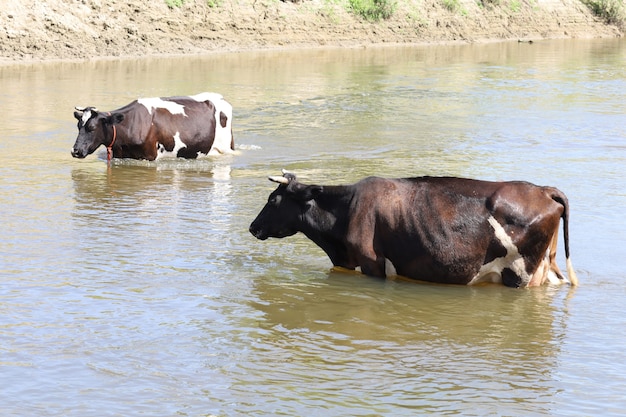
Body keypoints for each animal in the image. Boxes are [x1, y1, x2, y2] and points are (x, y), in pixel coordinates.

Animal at [247, 171, 576, 288]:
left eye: (273, 199)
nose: (252, 227)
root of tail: (543, 189)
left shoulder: (371, 263)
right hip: (546, 267)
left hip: (520, 273)